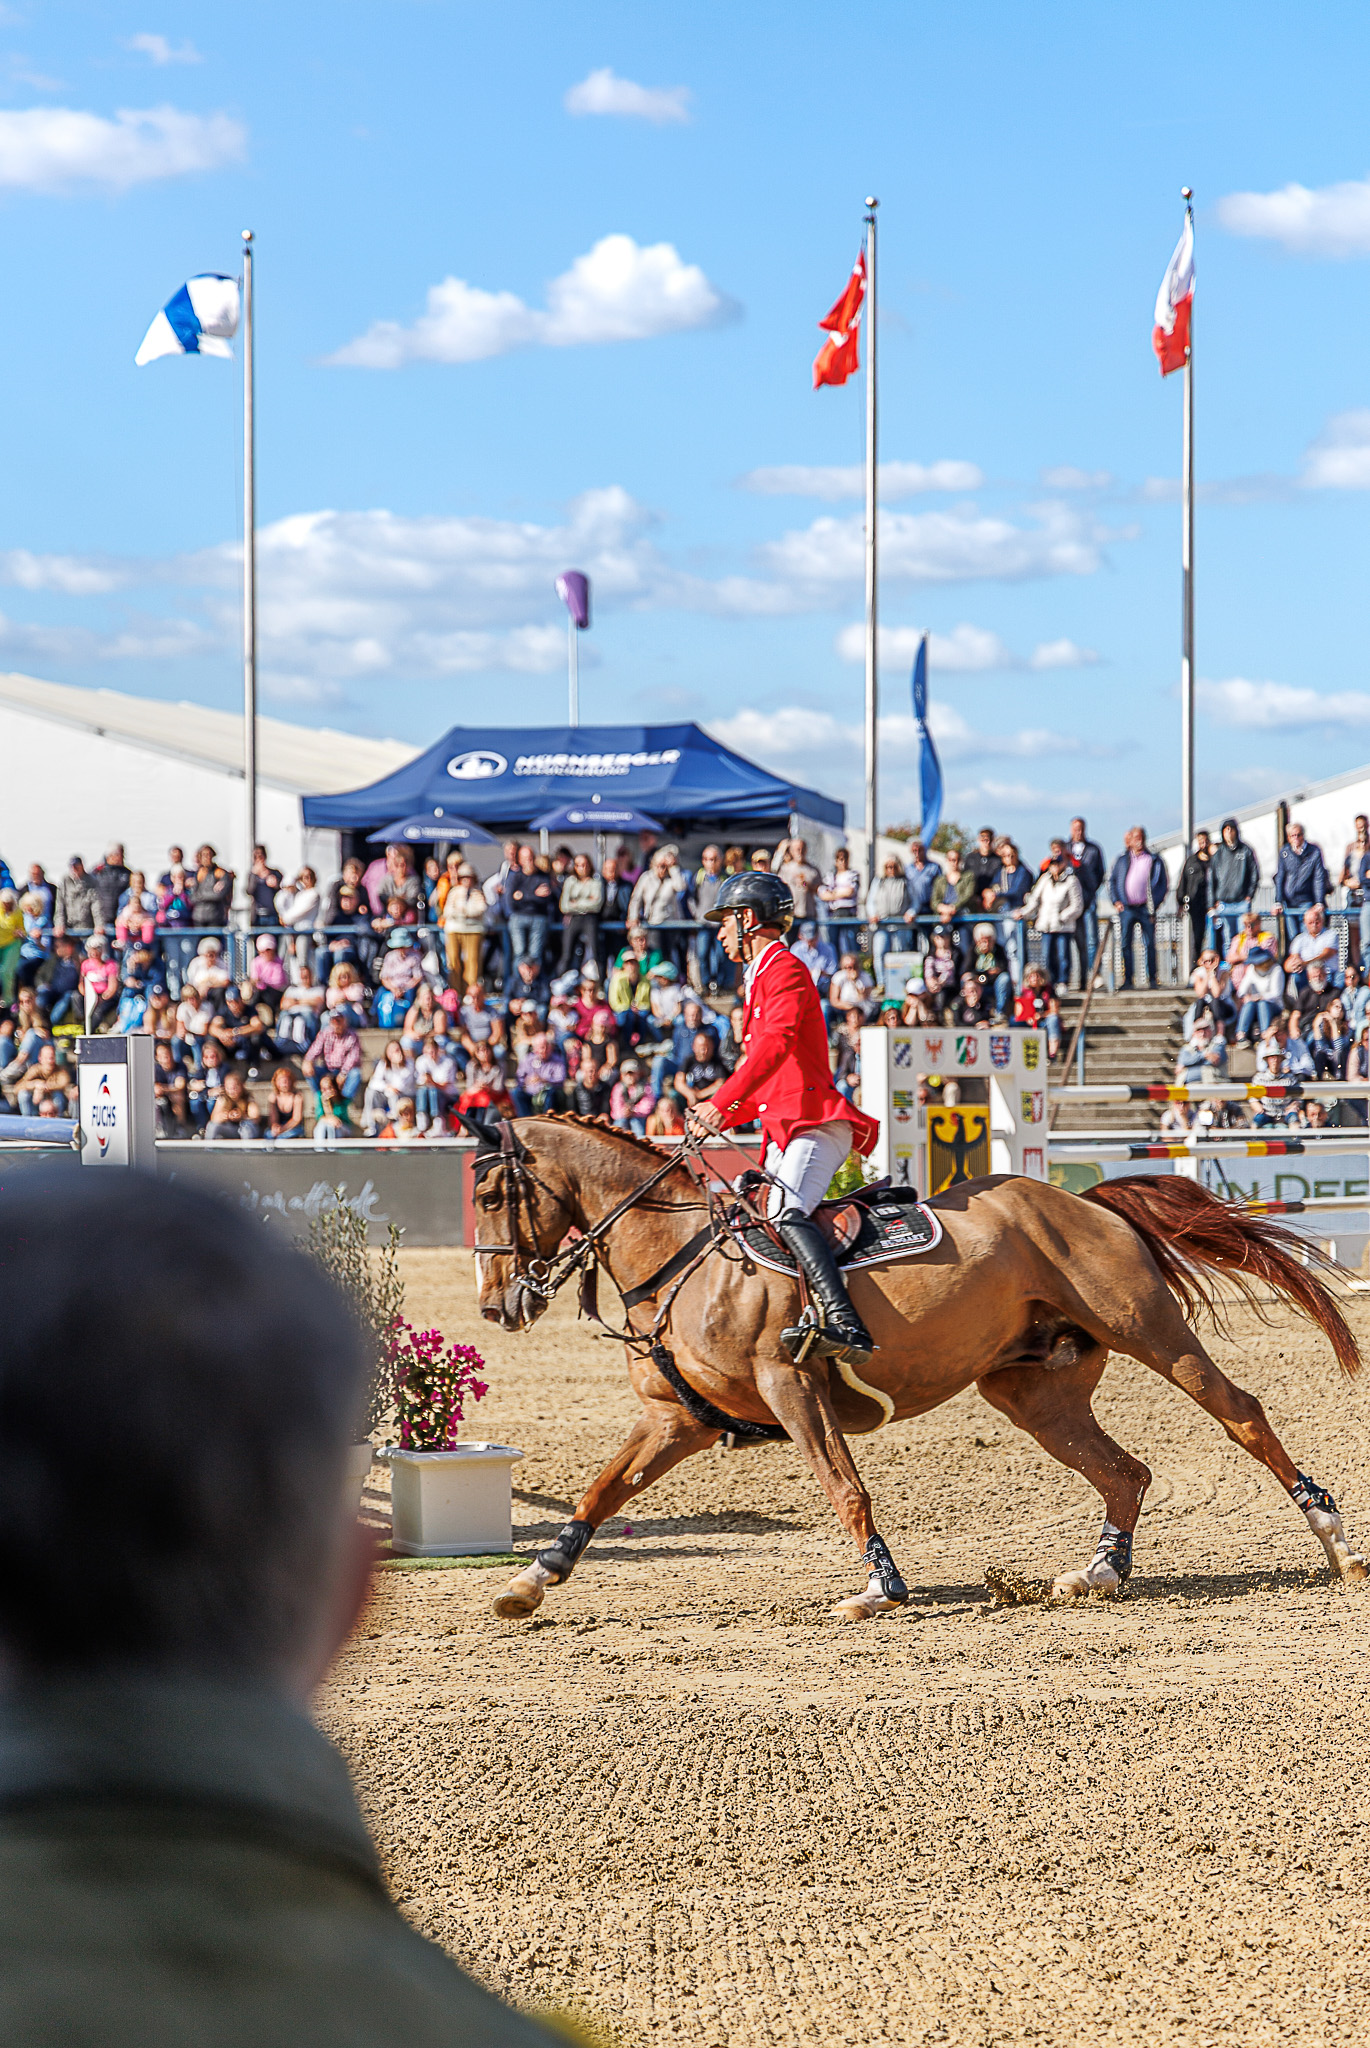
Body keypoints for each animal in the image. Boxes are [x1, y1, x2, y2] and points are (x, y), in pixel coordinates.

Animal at [465, 1115, 1365, 1621]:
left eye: (491, 1199)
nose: (495, 1305)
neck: (683, 1257)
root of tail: (1084, 1199)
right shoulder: (676, 1418)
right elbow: (601, 1491)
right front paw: (530, 1583)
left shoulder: (791, 1389)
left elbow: (845, 1487)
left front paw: (880, 1589)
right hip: (1031, 1391)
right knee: (1125, 1472)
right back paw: (1099, 1573)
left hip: (1150, 1331)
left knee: (1241, 1413)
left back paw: (1334, 1543)